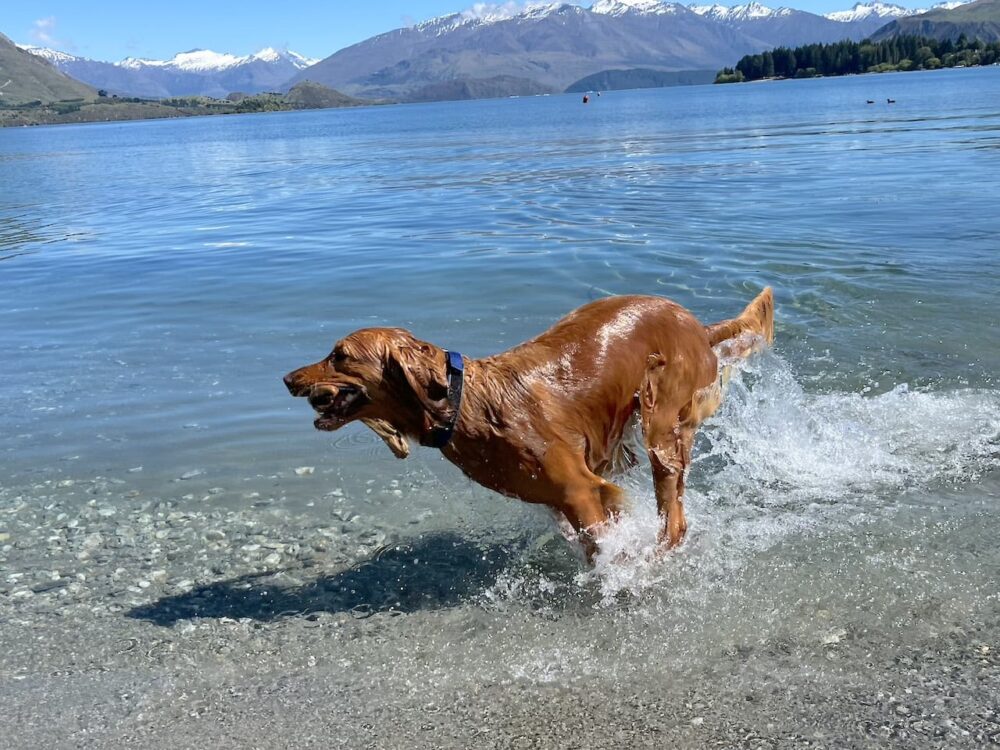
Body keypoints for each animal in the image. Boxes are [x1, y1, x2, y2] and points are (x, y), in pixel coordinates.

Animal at [282, 288, 772, 560]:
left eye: (339, 356)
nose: (287, 378)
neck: (463, 405)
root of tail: (698, 324)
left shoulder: (580, 491)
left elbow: (604, 548)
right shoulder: (562, 500)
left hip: (662, 426)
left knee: (674, 521)